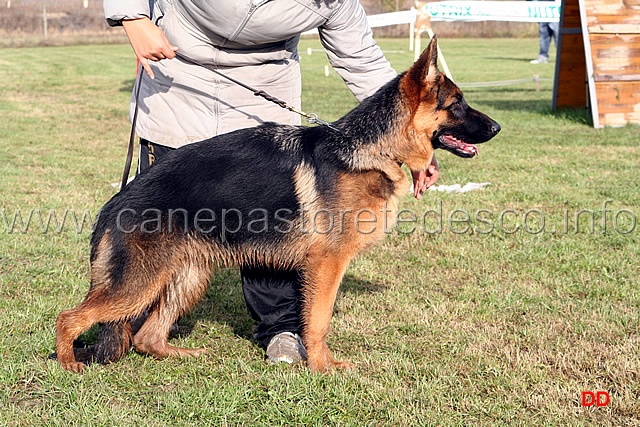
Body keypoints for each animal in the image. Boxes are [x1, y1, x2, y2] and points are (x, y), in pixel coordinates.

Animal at [53, 39, 500, 374]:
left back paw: (182, 354)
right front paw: (322, 369)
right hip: (138, 284)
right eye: (457, 104)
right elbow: (318, 322)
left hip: (189, 277)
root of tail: (116, 201)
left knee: (146, 336)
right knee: (69, 317)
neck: (369, 148)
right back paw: (69, 364)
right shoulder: (326, 265)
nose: (498, 127)